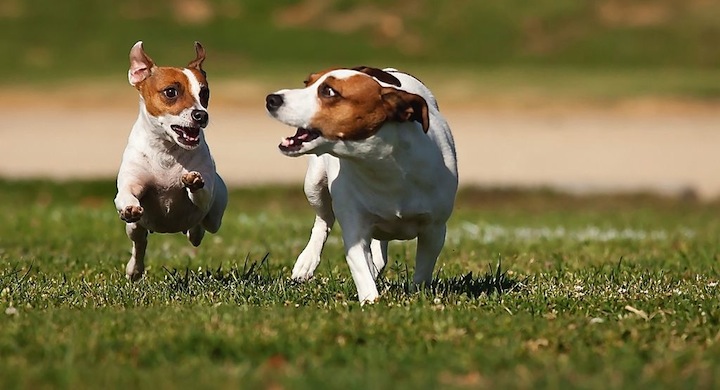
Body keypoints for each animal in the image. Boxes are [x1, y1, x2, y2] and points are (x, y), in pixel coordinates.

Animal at [114, 42, 226, 280]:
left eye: (205, 93)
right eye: (171, 92)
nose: (201, 115)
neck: (166, 152)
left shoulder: (206, 197)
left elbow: (200, 192)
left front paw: (193, 181)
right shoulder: (132, 184)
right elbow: (126, 195)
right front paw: (129, 206)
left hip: (215, 216)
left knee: (202, 227)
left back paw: (194, 232)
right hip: (134, 228)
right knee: (140, 243)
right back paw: (134, 269)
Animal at [264, 66, 456, 302]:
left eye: (329, 91)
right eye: (307, 83)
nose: (272, 99)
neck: (382, 166)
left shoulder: (434, 229)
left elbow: (423, 269)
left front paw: (417, 296)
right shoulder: (354, 227)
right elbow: (361, 270)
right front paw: (372, 301)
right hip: (314, 184)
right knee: (323, 220)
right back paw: (307, 260)